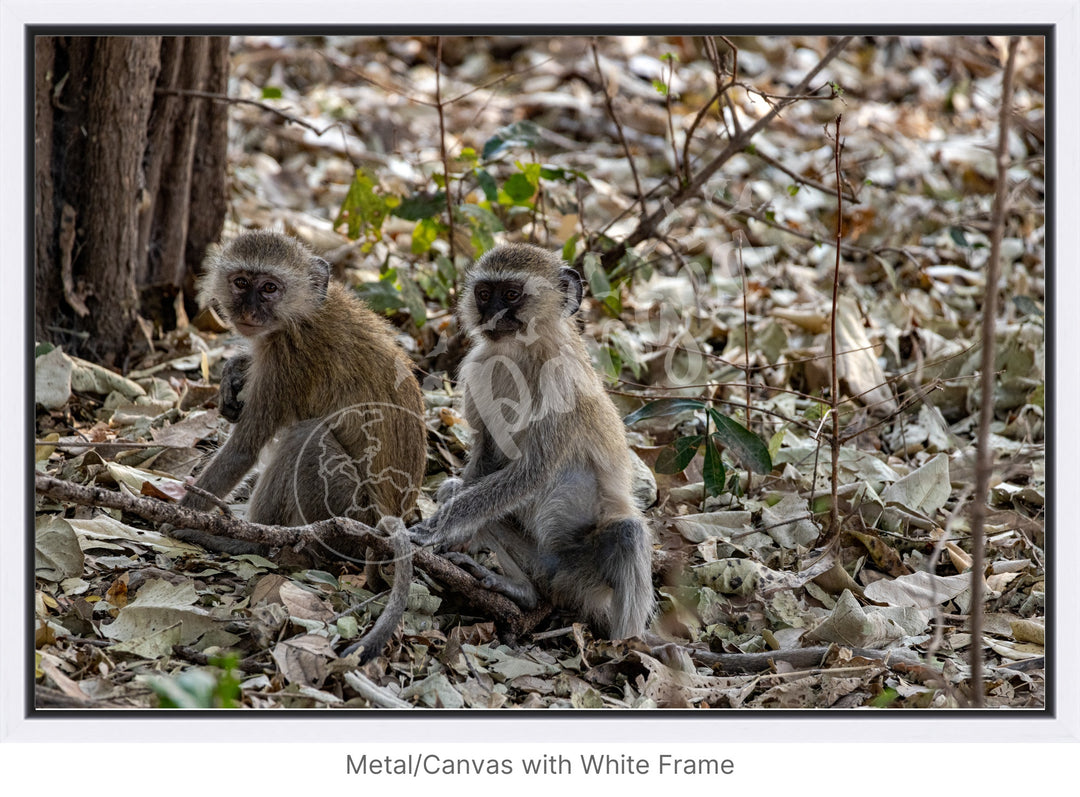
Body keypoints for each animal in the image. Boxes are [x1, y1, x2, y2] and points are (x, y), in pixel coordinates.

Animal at [408, 241, 652, 639]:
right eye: (484, 294)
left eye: (511, 295)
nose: (490, 315)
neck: (520, 354)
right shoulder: (478, 367)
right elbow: (487, 458)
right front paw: (449, 536)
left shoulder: (561, 383)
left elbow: (533, 472)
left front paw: (431, 530)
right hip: (539, 561)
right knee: (457, 491)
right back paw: (521, 590)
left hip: (586, 574)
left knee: (628, 534)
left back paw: (627, 645)